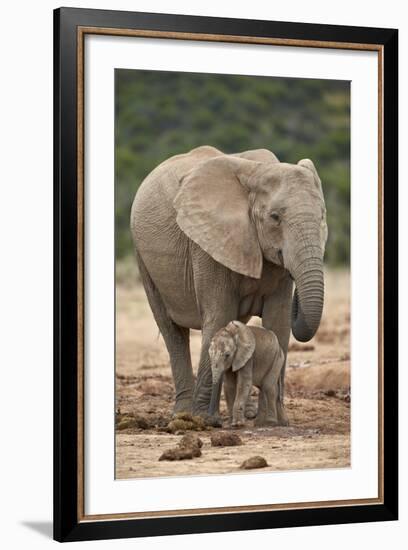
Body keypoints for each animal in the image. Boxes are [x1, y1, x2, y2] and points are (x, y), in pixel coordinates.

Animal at [131, 144, 328, 424]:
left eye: (322, 216)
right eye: (275, 217)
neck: (257, 172)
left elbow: (278, 322)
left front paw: (276, 422)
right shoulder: (207, 242)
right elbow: (219, 314)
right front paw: (203, 420)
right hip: (144, 258)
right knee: (171, 330)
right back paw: (183, 415)